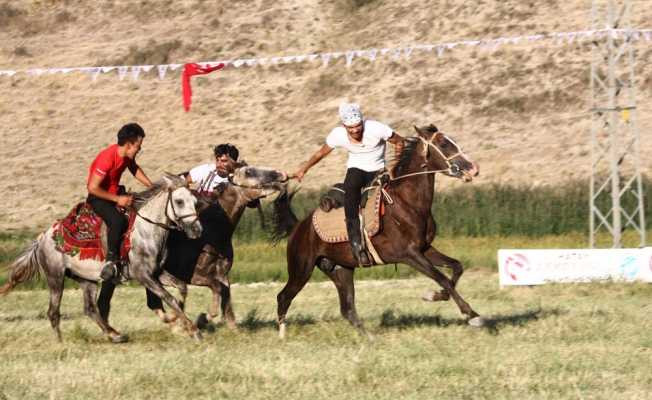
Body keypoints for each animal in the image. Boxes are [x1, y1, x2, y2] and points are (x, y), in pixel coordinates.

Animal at [0, 173, 204, 342]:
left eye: (195, 201)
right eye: (179, 201)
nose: (197, 230)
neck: (145, 230)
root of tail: (42, 238)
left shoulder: (157, 273)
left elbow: (182, 289)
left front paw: (177, 320)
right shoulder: (143, 275)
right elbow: (168, 297)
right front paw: (193, 330)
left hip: (86, 280)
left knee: (90, 309)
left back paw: (114, 334)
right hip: (55, 278)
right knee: (53, 312)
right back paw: (61, 342)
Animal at [270, 124, 484, 338]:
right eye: (443, 143)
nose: (473, 168)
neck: (406, 203)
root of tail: (298, 226)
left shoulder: (425, 249)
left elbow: (456, 267)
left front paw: (441, 299)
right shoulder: (409, 255)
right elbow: (443, 278)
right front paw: (469, 313)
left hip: (340, 270)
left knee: (347, 308)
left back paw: (369, 337)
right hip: (301, 269)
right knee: (283, 297)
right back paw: (282, 335)